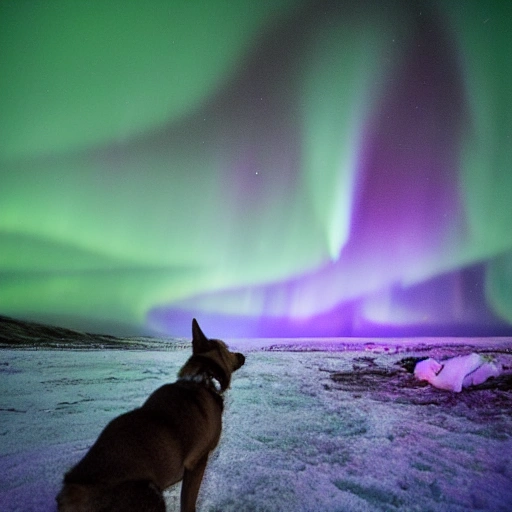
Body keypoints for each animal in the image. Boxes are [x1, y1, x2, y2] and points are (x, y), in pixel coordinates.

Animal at [57, 318, 245, 510]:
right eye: (227, 348)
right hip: (151, 495)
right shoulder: (197, 463)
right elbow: (188, 503)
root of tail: (73, 489)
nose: (242, 355)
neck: (203, 378)